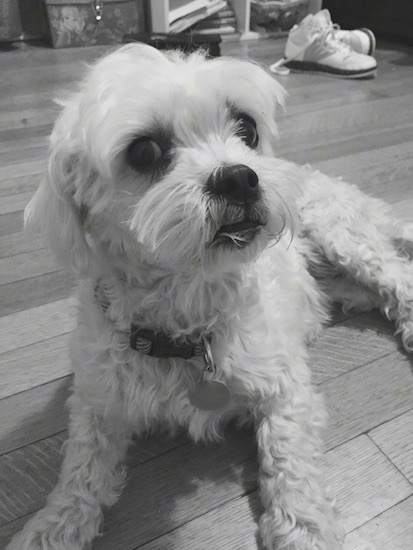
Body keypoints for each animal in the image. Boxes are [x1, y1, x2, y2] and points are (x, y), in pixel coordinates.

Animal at [8, 44, 412, 550]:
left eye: (247, 128)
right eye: (144, 151)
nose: (239, 178)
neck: (186, 320)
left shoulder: (285, 387)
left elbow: (290, 458)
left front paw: (302, 528)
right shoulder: (97, 401)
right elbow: (82, 468)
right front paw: (54, 525)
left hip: (343, 237)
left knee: (400, 277)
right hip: (338, 280)